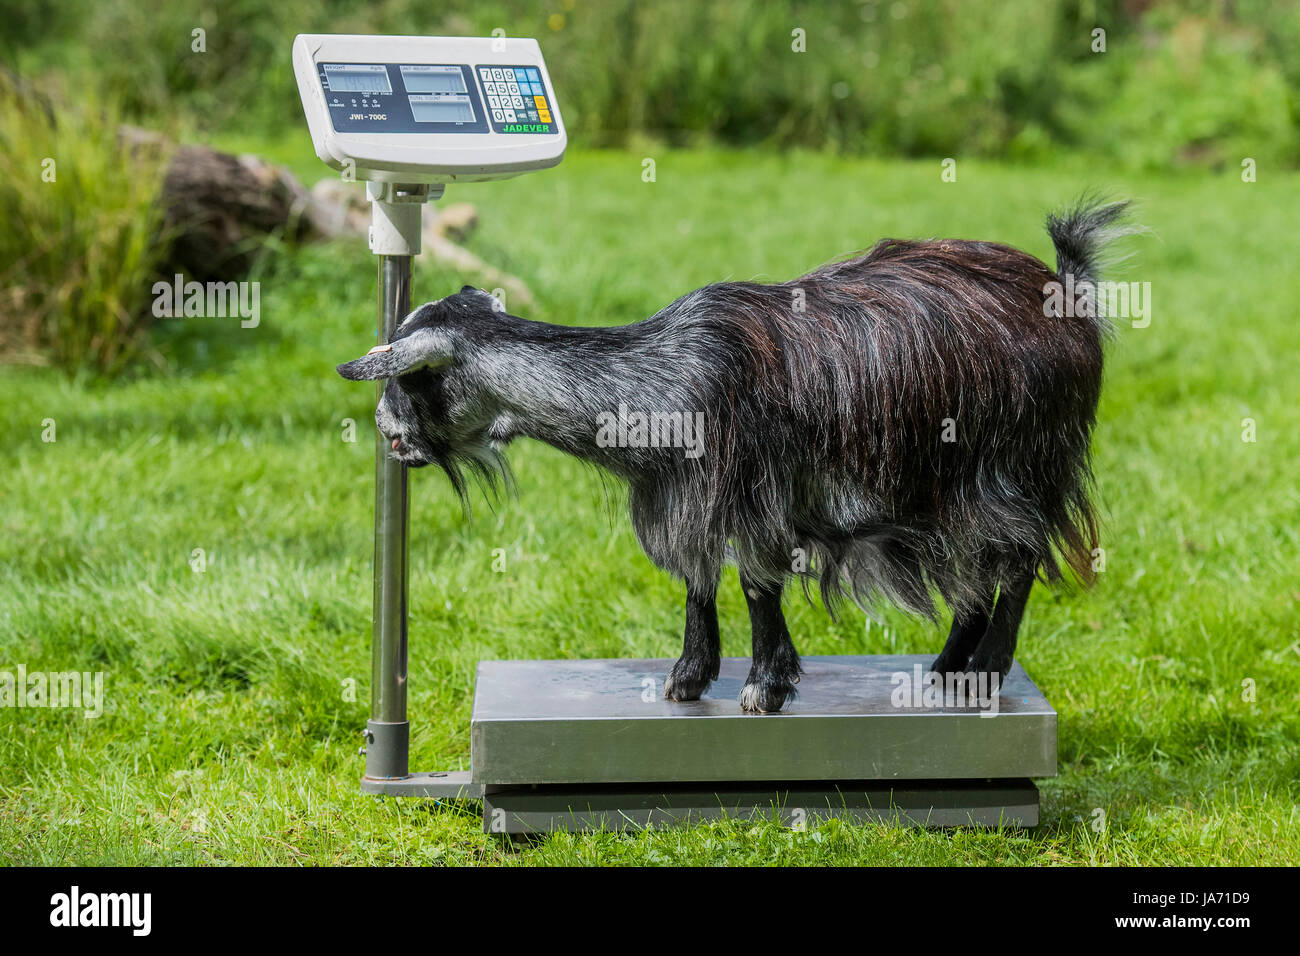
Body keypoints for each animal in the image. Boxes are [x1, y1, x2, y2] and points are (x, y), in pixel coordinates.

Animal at [338, 198, 1132, 713]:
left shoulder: (755, 493)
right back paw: (944, 670)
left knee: (1017, 562)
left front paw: (764, 685)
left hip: (1012, 469)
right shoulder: (689, 498)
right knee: (976, 574)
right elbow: (697, 580)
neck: (666, 381)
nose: (384, 431)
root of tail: (1068, 291)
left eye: (410, 374)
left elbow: (755, 584)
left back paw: (986, 675)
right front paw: (689, 677)